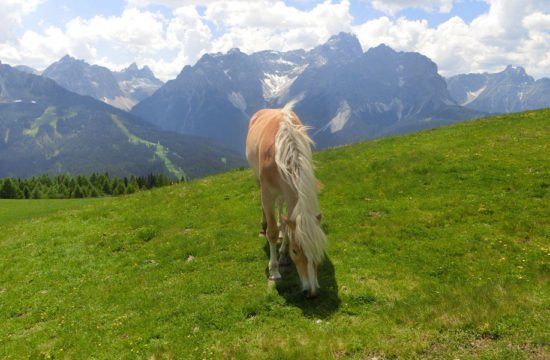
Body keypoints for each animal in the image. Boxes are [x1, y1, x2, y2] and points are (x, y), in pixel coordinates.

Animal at [246, 101, 328, 298]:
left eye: (318, 251)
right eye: (296, 251)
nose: (312, 292)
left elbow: (288, 223)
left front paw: (283, 252)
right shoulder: (268, 192)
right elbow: (272, 232)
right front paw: (274, 270)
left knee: (281, 208)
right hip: (258, 179)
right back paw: (264, 225)